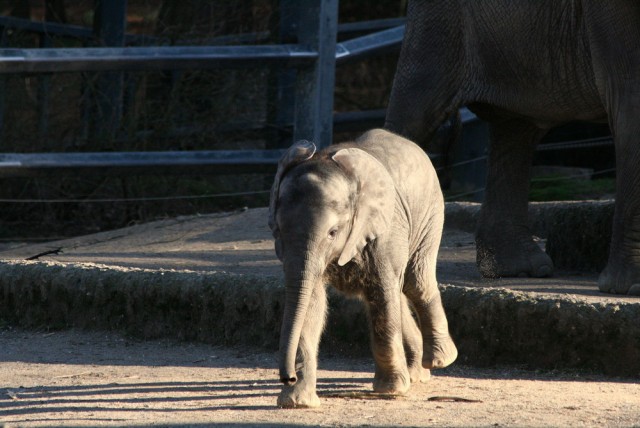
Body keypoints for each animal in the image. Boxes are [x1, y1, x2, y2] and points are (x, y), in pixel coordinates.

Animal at [268, 130, 458, 408]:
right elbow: (309, 300)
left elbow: (382, 292)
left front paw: (391, 390)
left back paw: (440, 360)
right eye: (279, 230)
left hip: (430, 212)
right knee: (397, 292)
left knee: (415, 282)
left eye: (333, 232)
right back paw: (416, 374)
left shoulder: (385, 229)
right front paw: (297, 401)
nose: (288, 377)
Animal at [384, 0, 640, 296]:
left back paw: (518, 270)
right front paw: (630, 287)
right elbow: (631, 100)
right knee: (416, 113)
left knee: (515, 125)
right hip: (437, 24)